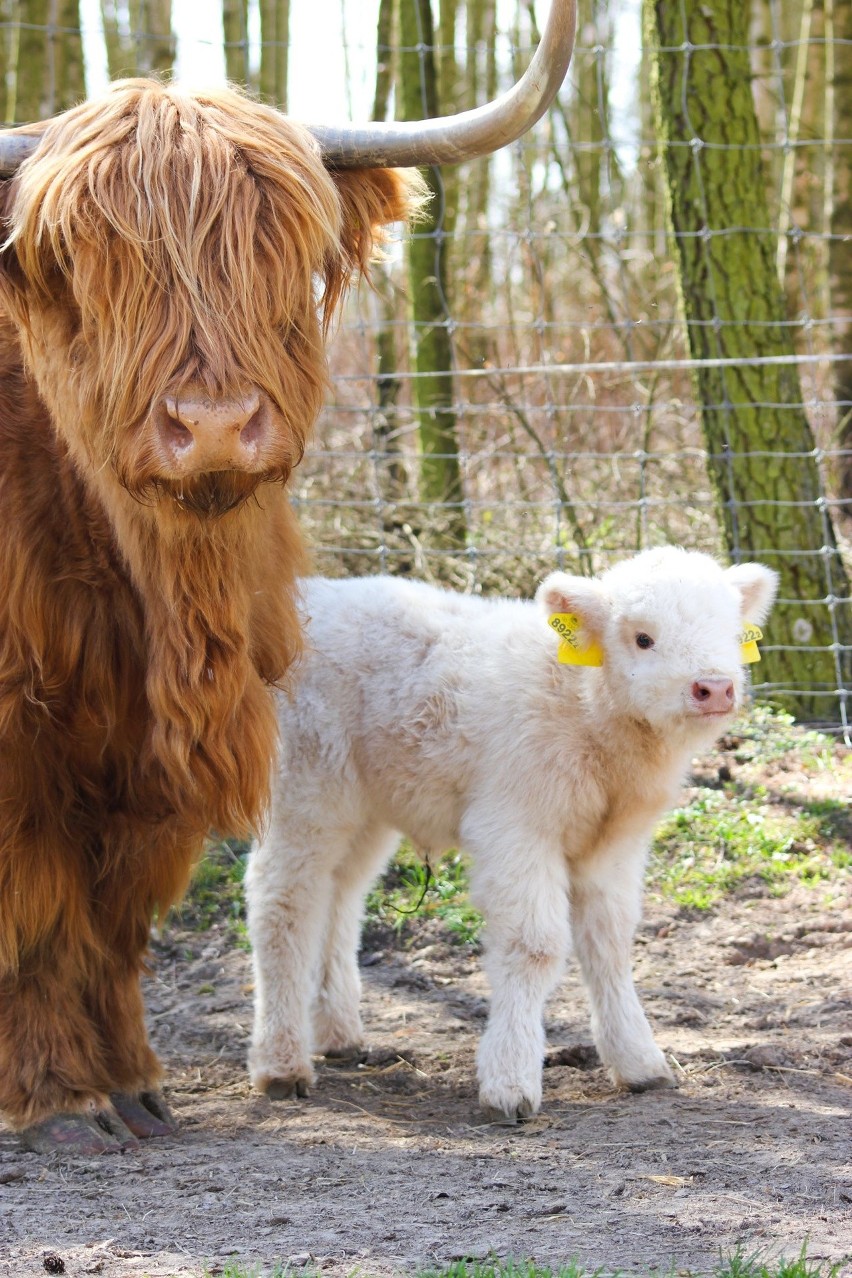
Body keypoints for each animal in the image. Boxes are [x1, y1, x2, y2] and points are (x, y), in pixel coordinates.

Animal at [0, 79, 426, 1160]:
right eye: (85, 258)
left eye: (284, 247)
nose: (218, 427)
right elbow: (35, 901)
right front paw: (58, 1097)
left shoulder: (152, 755)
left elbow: (115, 913)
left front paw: (133, 1082)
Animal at [246, 546, 781, 1119]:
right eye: (642, 638)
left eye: (731, 631)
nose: (715, 687)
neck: (582, 704)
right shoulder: (516, 828)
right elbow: (534, 945)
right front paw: (511, 1082)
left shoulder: (615, 846)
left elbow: (610, 941)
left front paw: (639, 1062)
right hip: (305, 788)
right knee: (284, 903)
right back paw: (281, 1064)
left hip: (368, 807)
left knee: (340, 895)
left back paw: (339, 1034)